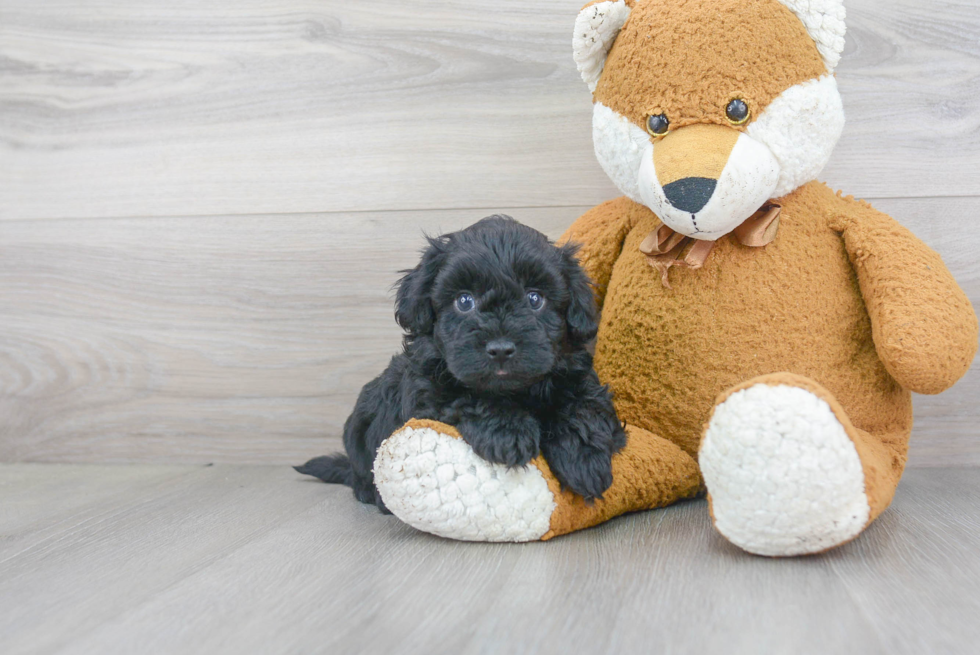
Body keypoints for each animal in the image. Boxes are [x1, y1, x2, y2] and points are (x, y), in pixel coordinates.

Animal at [294, 215, 624, 512]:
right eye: (465, 301)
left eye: (534, 299)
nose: (500, 349)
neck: (514, 390)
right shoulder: (426, 391)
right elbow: (464, 396)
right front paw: (507, 431)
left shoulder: (576, 374)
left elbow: (582, 406)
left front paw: (584, 458)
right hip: (359, 429)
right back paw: (369, 492)